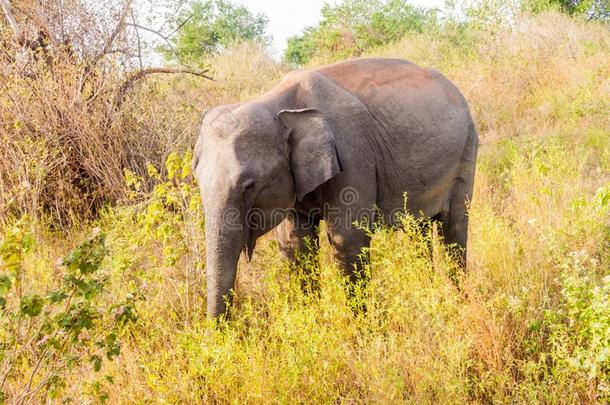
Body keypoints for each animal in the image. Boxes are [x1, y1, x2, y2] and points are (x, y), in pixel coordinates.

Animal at [192, 56, 478, 318]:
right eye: (198, 181)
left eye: (249, 186)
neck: (279, 105)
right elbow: (296, 244)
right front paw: (313, 320)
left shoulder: (353, 154)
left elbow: (347, 238)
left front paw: (362, 328)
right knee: (418, 232)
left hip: (466, 150)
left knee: (453, 227)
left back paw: (458, 302)